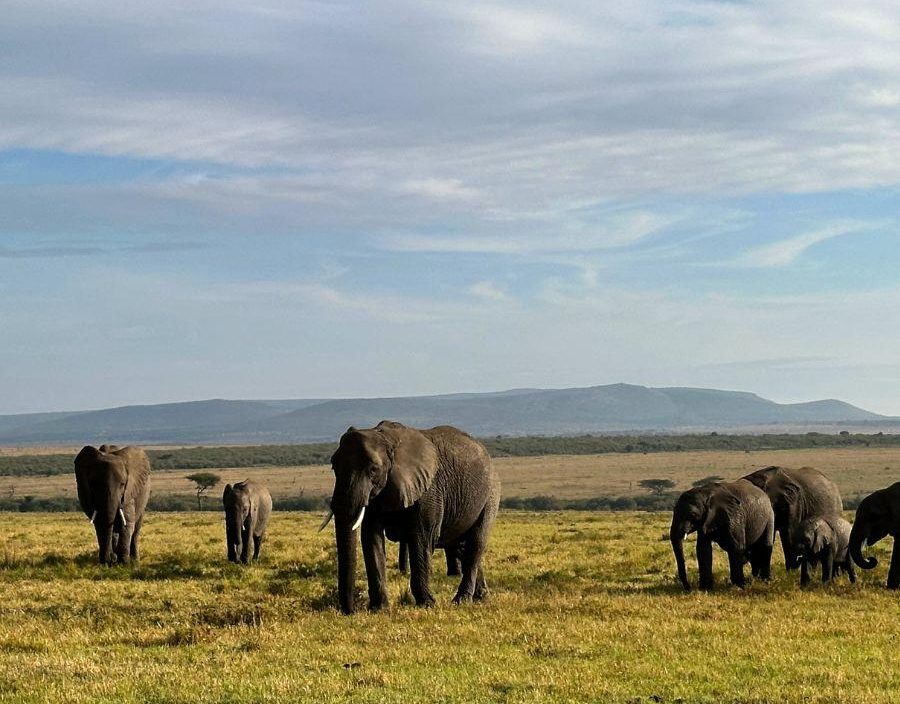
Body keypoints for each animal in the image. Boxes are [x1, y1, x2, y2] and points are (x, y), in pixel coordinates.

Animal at [321, 420, 500, 614]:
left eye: (373, 469)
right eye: (333, 466)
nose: (351, 611)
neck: (386, 438)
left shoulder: (428, 491)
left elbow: (421, 539)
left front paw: (427, 604)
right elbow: (371, 538)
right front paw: (380, 609)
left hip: (491, 494)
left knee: (475, 543)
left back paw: (462, 601)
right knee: (461, 546)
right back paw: (481, 597)